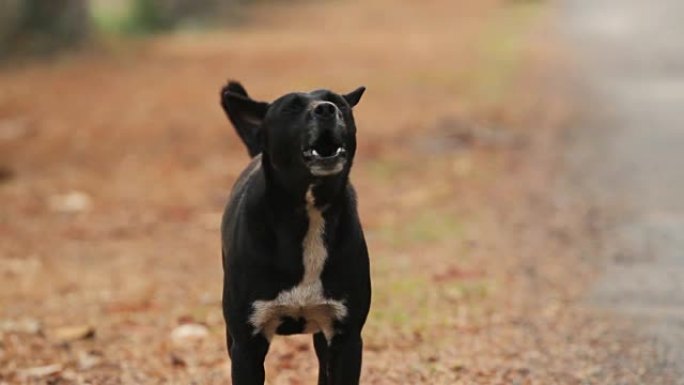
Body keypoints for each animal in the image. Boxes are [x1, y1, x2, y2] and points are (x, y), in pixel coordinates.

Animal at [220, 79, 372, 382]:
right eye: (291, 108)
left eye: (339, 102)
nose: (326, 109)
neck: (309, 211)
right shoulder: (246, 345)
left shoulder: (346, 338)